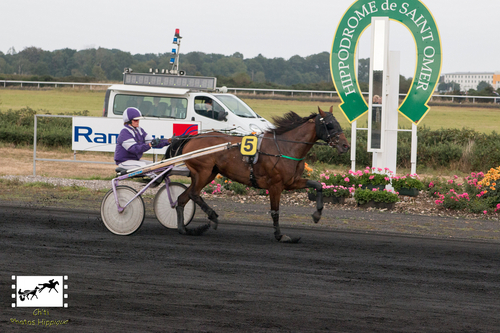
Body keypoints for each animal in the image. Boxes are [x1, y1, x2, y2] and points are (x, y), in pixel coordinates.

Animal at [178, 106, 350, 241]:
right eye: (329, 124)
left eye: (338, 123)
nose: (345, 145)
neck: (286, 148)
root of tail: (191, 139)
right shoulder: (275, 185)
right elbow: (275, 211)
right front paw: (280, 235)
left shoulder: (291, 182)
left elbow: (318, 185)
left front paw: (317, 215)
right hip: (203, 171)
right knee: (193, 194)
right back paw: (212, 217)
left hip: (209, 174)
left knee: (182, 198)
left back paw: (184, 229)